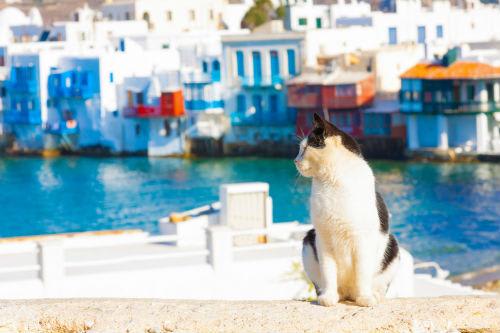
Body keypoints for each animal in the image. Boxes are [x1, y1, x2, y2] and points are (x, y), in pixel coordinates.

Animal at [296, 112, 398, 306]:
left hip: (393, 249)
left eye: (305, 148)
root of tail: (349, 294)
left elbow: (362, 273)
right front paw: (328, 297)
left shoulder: (362, 239)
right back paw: (331, 295)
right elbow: (328, 272)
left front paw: (365, 298)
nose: (295, 160)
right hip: (308, 241)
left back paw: (372, 296)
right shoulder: (323, 238)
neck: (332, 180)